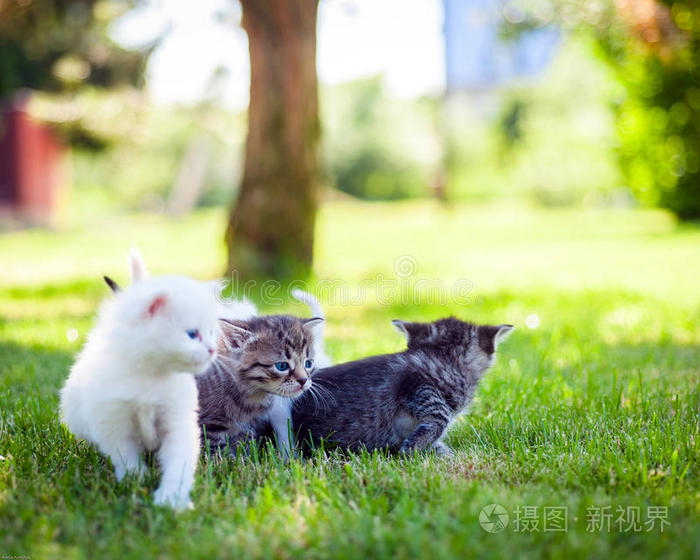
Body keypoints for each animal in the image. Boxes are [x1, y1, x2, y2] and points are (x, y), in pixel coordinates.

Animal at [60, 248, 220, 508]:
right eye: (192, 334)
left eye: (212, 332)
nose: (213, 349)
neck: (151, 375)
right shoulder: (114, 422)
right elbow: (125, 456)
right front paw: (134, 480)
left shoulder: (177, 422)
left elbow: (179, 463)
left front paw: (172, 498)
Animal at [197, 306, 326, 460]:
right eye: (282, 366)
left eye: (308, 363)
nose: (303, 380)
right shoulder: (209, 423)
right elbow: (215, 452)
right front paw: (226, 463)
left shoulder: (246, 426)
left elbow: (244, 445)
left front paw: (244, 460)